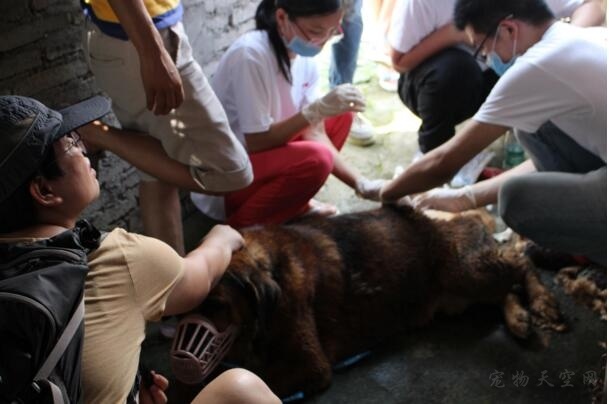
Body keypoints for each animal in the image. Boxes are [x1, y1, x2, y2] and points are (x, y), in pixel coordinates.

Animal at [192, 207, 564, 396]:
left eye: (217, 305)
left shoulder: (310, 368)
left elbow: (250, 375)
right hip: (462, 290)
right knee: (504, 286)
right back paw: (518, 317)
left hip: (466, 269)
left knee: (520, 257)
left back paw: (543, 302)